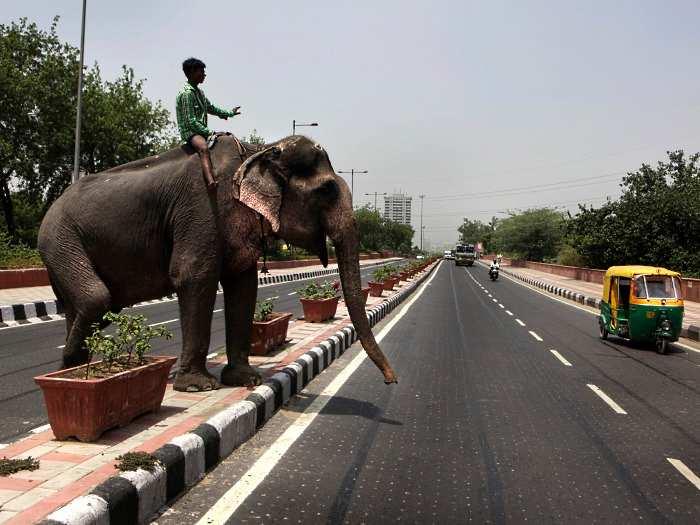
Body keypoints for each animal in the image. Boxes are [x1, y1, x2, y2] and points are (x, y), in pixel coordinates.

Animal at [38, 135, 396, 388]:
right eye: (326, 191)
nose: (392, 380)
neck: (257, 151)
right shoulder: (201, 208)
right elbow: (195, 276)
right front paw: (198, 386)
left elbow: (244, 284)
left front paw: (247, 380)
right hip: (60, 240)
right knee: (96, 299)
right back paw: (70, 363)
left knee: (86, 306)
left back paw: (72, 367)